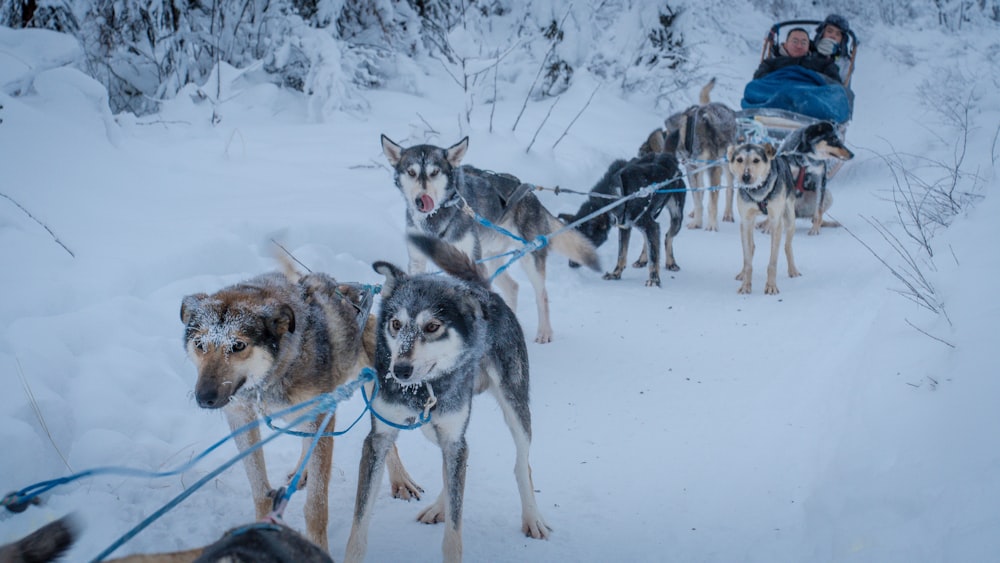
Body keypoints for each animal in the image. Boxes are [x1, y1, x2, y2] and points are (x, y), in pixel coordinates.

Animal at [180, 262, 422, 552]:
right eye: (199, 344)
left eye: (238, 345)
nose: (204, 397)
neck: (272, 377)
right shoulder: (240, 416)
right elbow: (260, 490)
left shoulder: (322, 417)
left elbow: (316, 507)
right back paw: (302, 471)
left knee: (385, 440)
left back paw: (400, 480)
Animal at [346, 234, 552, 563]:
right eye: (395, 324)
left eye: (432, 327)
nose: (399, 370)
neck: (421, 390)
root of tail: (482, 289)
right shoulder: (380, 438)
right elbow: (359, 521)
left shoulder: (454, 436)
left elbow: (454, 531)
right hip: (435, 427)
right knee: (454, 465)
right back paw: (440, 506)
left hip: (514, 408)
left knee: (521, 463)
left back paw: (532, 517)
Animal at [380, 134, 600, 344]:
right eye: (411, 172)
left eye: (434, 172)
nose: (421, 200)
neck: (437, 219)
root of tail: (530, 193)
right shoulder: (418, 261)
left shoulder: (470, 262)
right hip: (491, 260)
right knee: (513, 287)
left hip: (528, 259)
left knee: (542, 295)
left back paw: (543, 332)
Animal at [560, 151, 684, 286]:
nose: (571, 264)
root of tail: (669, 156)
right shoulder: (625, 226)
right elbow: (622, 254)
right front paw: (615, 274)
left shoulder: (650, 225)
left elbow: (653, 256)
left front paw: (654, 280)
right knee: (648, 239)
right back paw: (642, 259)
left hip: (676, 218)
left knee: (667, 237)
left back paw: (671, 263)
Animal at [724, 142, 800, 296]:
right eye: (739, 159)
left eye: (756, 160)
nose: (745, 176)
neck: (758, 191)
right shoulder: (746, 220)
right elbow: (748, 261)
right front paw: (745, 285)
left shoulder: (776, 222)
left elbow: (772, 263)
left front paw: (771, 286)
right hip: (746, 225)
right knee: (751, 247)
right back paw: (742, 273)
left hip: (789, 218)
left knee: (787, 245)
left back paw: (792, 270)